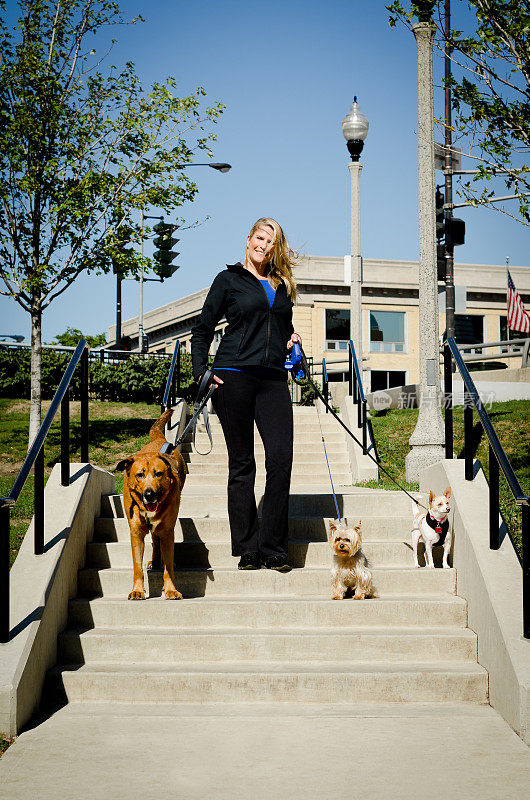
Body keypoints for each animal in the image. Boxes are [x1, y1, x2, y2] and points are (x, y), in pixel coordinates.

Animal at [114, 412, 186, 600]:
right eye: (140, 475)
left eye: (158, 474)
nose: (149, 494)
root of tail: (160, 439)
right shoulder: (136, 533)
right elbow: (137, 566)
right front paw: (137, 590)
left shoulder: (168, 531)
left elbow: (168, 567)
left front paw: (170, 589)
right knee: (154, 540)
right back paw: (154, 561)